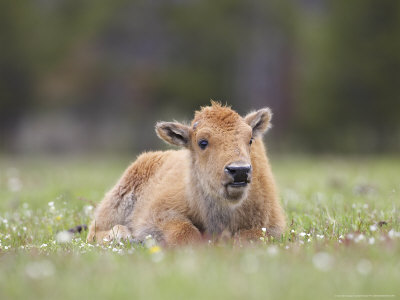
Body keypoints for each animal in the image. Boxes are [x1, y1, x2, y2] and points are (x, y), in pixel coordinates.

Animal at [86, 102, 284, 246]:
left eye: (250, 139)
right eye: (202, 142)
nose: (240, 170)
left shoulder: (272, 224)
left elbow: (250, 236)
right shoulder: (157, 214)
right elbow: (184, 231)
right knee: (94, 231)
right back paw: (123, 235)